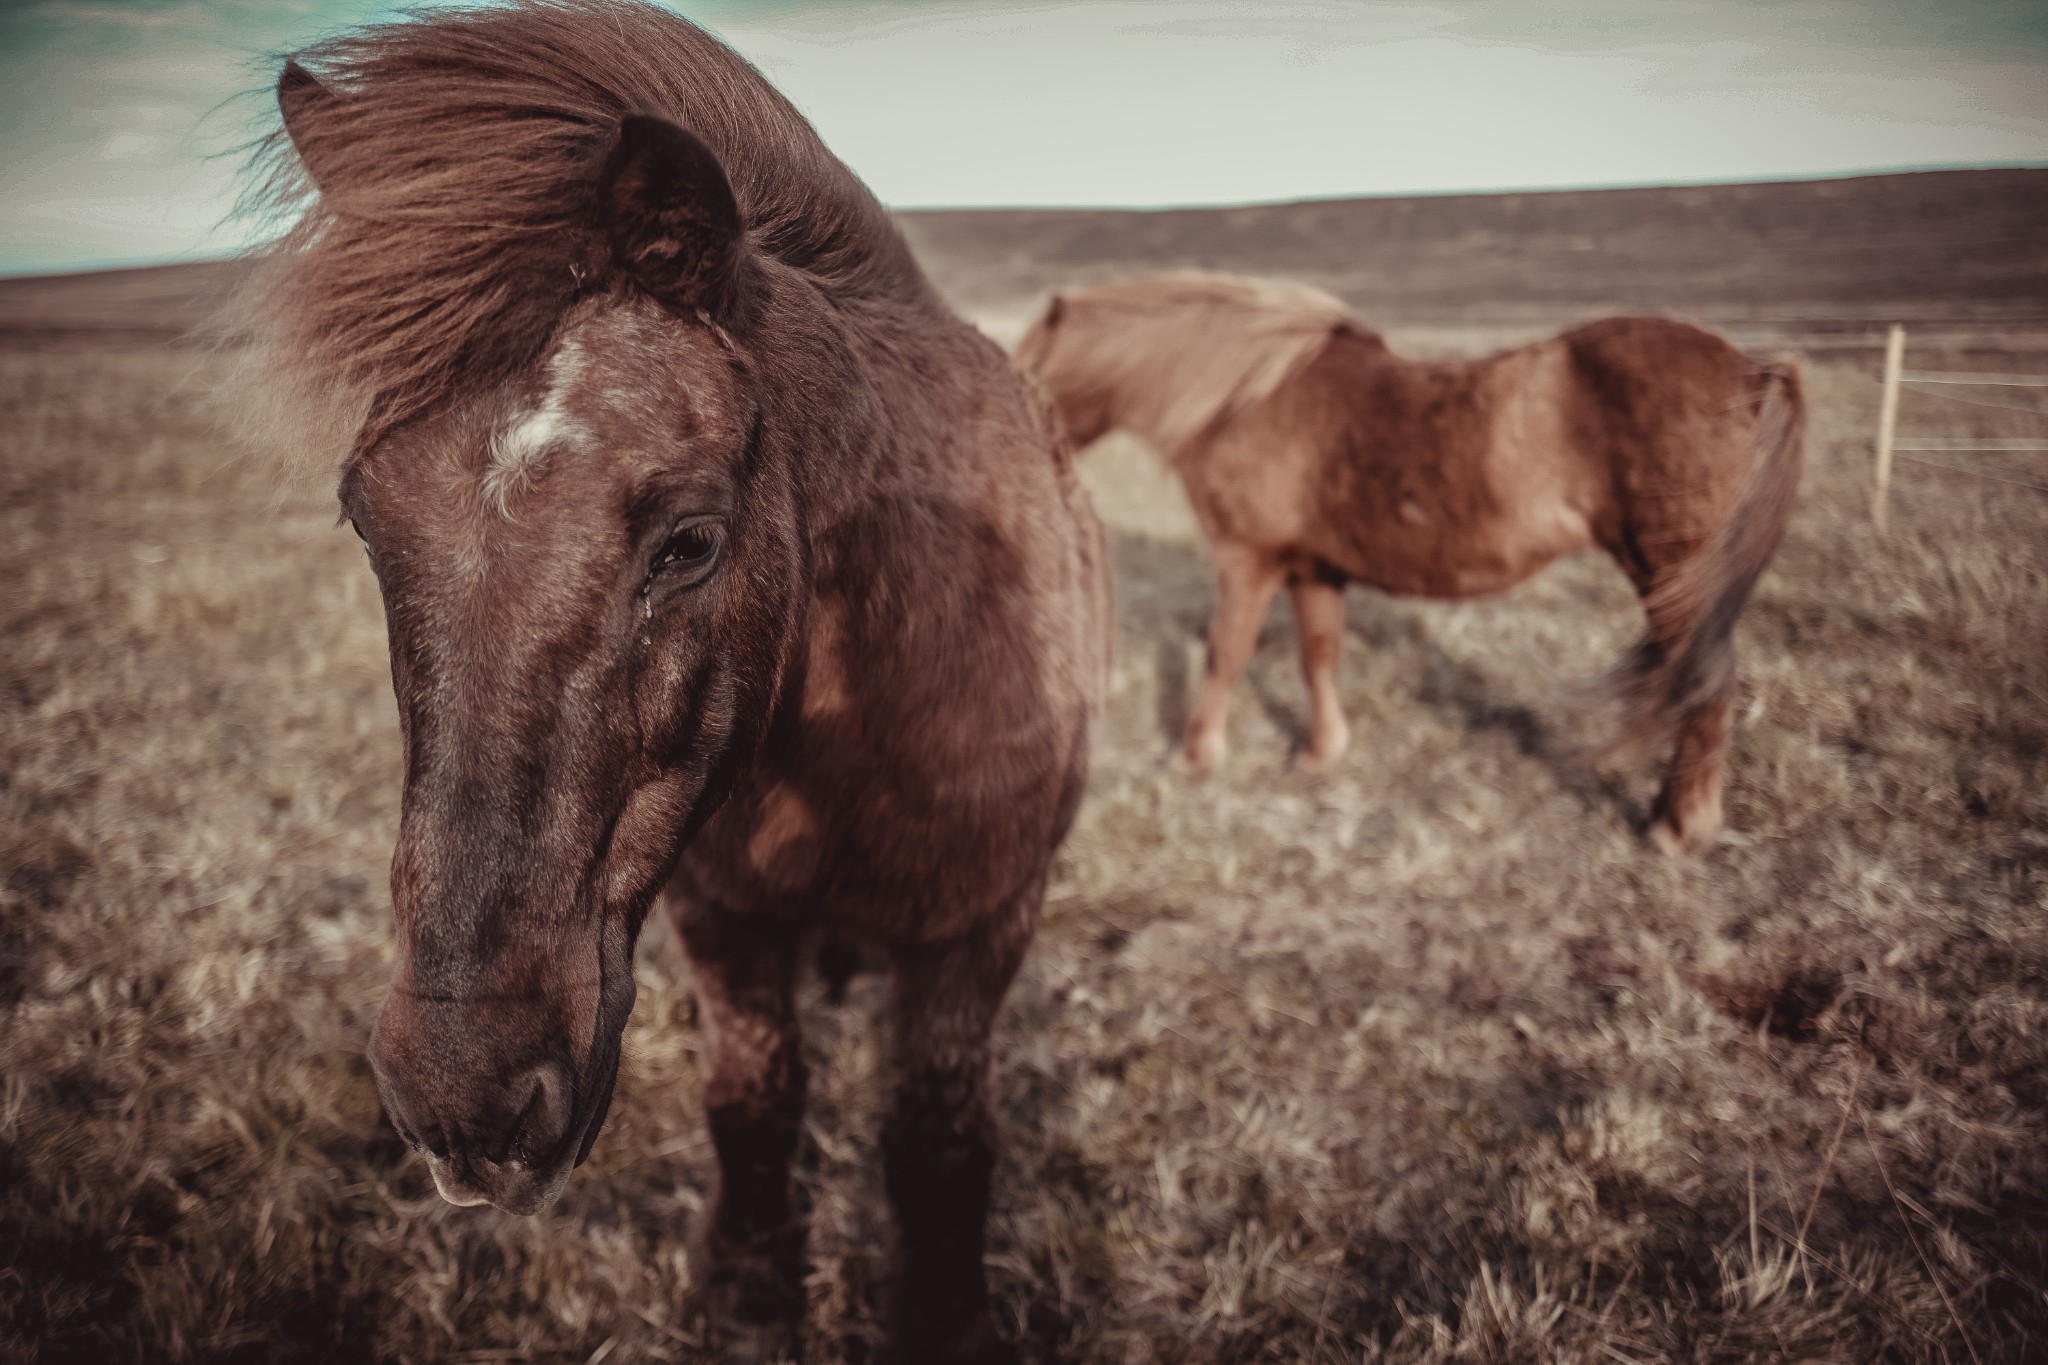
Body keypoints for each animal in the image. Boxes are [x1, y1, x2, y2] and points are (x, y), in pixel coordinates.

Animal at [235, 5, 1105, 1358]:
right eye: (363, 519)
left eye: (688, 541)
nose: (460, 1093)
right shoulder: (722, 920)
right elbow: (754, 1103)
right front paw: (747, 1294)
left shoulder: (977, 929)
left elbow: (936, 1142)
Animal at [1015, 272, 1802, 855]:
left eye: (1028, 367)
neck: (1244, 395)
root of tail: (1752, 370)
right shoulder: (1314, 569)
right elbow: (1319, 655)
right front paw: (1320, 753)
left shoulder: (1248, 560)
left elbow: (1225, 656)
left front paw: (1193, 758)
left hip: (1672, 579)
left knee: (1706, 688)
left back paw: (1676, 827)